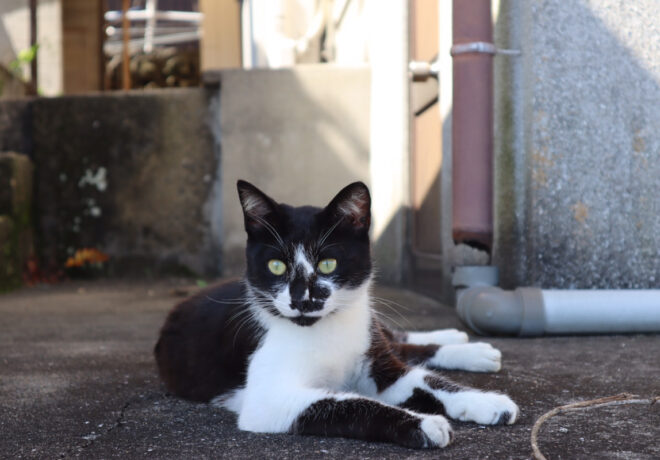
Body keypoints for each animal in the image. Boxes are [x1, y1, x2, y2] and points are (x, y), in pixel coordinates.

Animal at [156, 180, 520, 450]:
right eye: (277, 266)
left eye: (328, 263)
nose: (302, 298)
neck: (323, 330)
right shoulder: (266, 400)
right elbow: (349, 404)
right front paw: (424, 424)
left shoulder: (377, 364)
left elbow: (425, 379)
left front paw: (487, 402)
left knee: (397, 341)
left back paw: (469, 346)